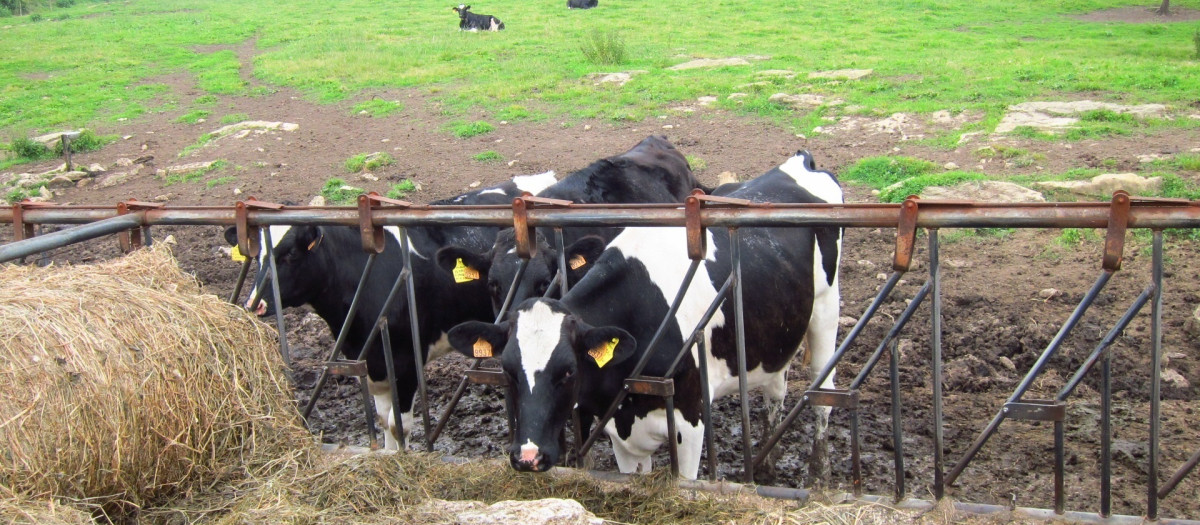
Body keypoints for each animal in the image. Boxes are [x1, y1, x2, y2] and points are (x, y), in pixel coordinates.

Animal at [224, 172, 557, 450]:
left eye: (291, 254)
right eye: (258, 253)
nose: (254, 303)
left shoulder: (405, 361)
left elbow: (400, 426)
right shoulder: (371, 359)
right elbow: (385, 422)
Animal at [446, 151, 842, 480]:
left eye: (568, 371)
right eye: (509, 370)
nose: (528, 456)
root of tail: (799, 161)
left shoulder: (691, 422)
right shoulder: (620, 431)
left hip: (826, 309)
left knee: (823, 391)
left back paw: (820, 475)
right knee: (776, 391)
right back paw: (766, 469)